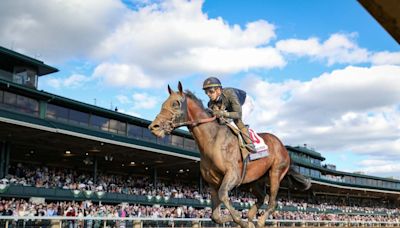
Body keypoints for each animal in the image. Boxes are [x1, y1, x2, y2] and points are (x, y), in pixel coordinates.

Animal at [148, 82, 310, 228]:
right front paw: (238, 219)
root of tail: (283, 147)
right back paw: (250, 217)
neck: (212, 140)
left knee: (272, 202)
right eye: (163, 103)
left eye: (176, 103)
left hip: (275, 173)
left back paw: (259, 221)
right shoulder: (213, 182)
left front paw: (240, 218)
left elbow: (224, 196)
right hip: (255, 180)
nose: (154, 127)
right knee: (261, 198)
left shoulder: (233, 175)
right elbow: (215, 216)